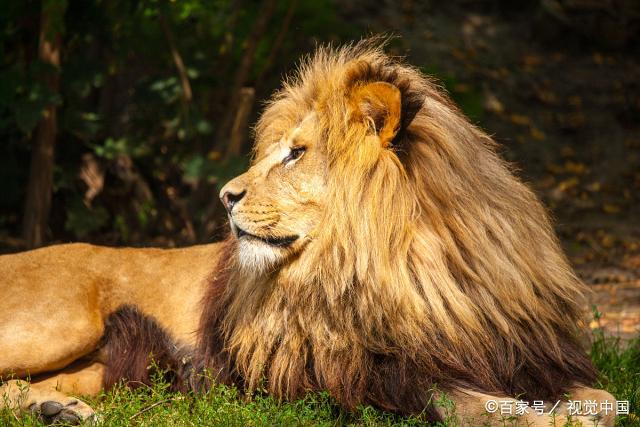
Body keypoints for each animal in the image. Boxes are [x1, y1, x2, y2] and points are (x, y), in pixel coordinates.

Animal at [1, 41, 620, 424]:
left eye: (296, 154)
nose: (224, 195)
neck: (411, 268)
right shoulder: (362, 375)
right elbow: (464, 403)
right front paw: (544, 421)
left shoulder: (518, 353)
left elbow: (605, 395)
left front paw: (585, 411)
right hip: (63, 323)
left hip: (93, 368)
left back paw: (57, 412)